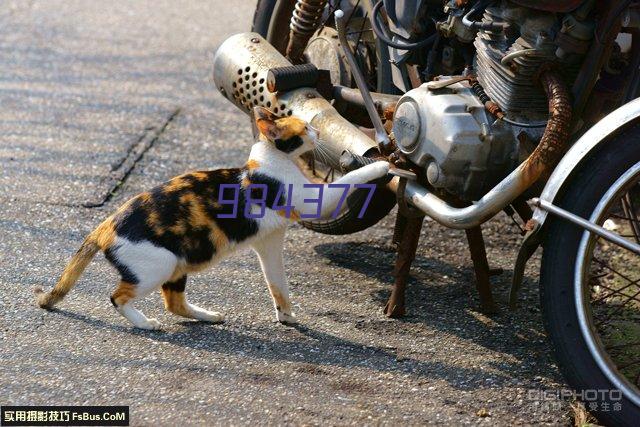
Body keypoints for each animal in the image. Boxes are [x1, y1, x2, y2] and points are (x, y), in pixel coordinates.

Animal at [37, 108, 392, 332]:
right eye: (304, 128)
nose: (318, 132)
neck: (270, 161)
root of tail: (105, 224)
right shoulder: (315, 201)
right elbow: (349, 180)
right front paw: (381, 165)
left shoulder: (269, 243)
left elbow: (277, 284)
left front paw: (286, 315)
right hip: (159, 264)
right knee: (118, 297)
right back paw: (145, 323)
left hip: (178, 264)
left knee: (174, 302)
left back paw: (206, 315)